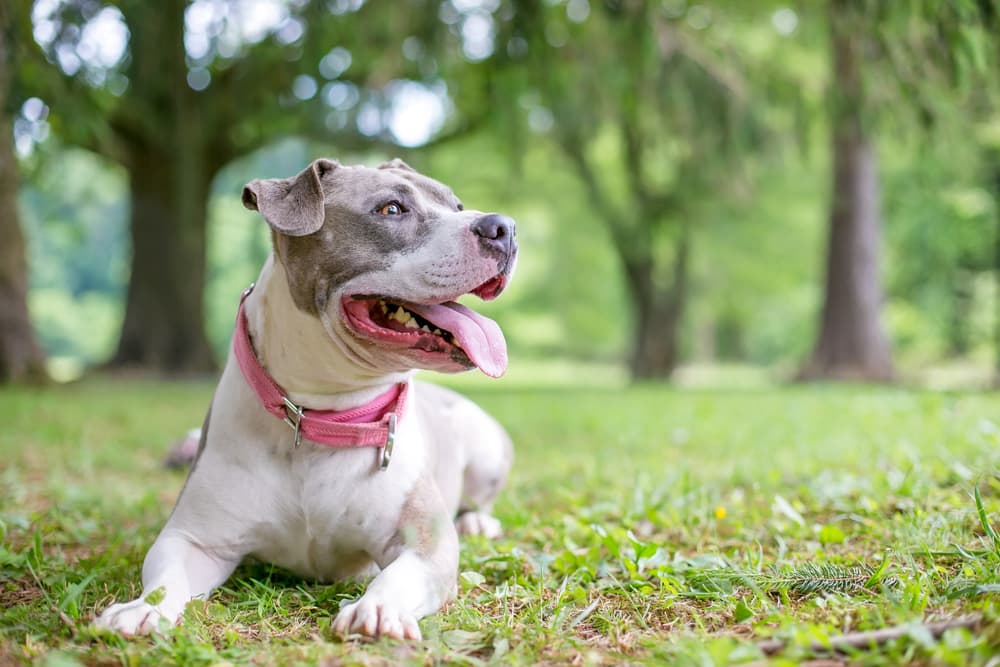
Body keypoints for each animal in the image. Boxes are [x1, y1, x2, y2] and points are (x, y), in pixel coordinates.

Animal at [95, 158, 516, 640]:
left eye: (458, 206)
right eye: (391, 208)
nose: (504, 227)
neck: (325, 416)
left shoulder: (426, 544)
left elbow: (400, 575)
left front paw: (378, 609)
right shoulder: (193, 538)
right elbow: (166, 577)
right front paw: (142, 609)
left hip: (486, 449)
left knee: (479, 499)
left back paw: (477, 520)